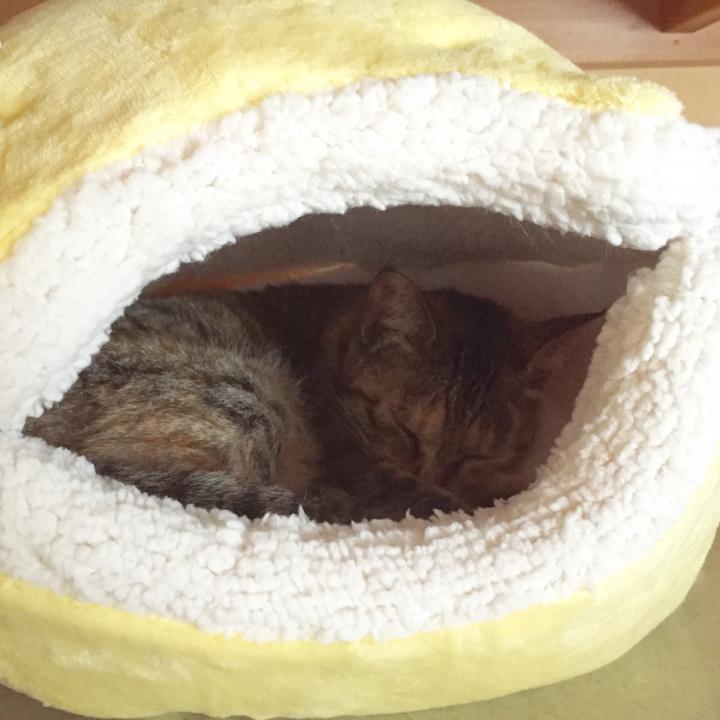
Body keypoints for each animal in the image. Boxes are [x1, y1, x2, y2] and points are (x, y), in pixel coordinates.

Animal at [24, 270, 595, 523]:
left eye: (477, 451)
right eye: (406, 431)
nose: (437, 472)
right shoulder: (366, 469)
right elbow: (429, 499)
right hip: (245, 397)